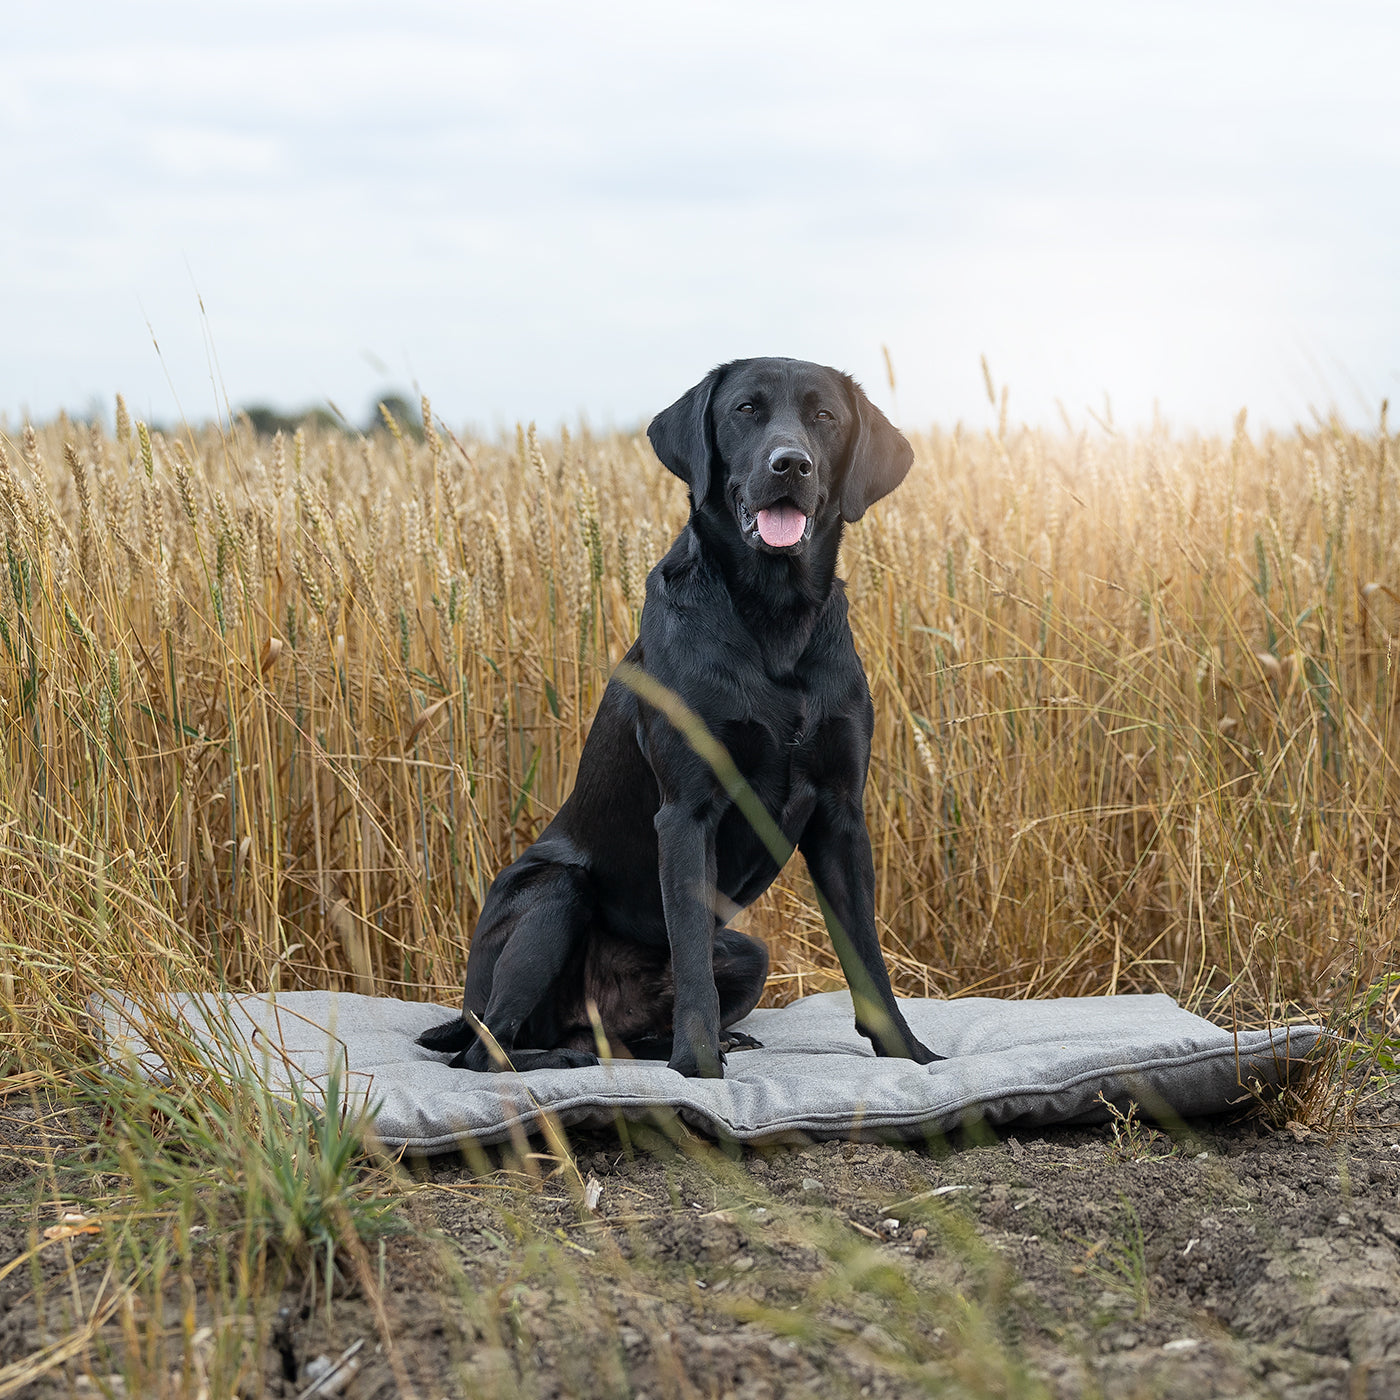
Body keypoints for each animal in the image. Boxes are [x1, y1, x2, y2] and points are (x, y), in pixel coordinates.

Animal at [414, 355, 940, 1075]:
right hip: (554, 892)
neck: (775, 617)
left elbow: (868, 956)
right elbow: (691, 956)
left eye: (825, 416)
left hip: (749, 950)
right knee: (487, 1049)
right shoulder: (689, 810)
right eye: (745, 409)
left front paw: (910, 1054)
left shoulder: (841, 815)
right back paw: (579, 1061)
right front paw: (698, 1070)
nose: (791, 464)